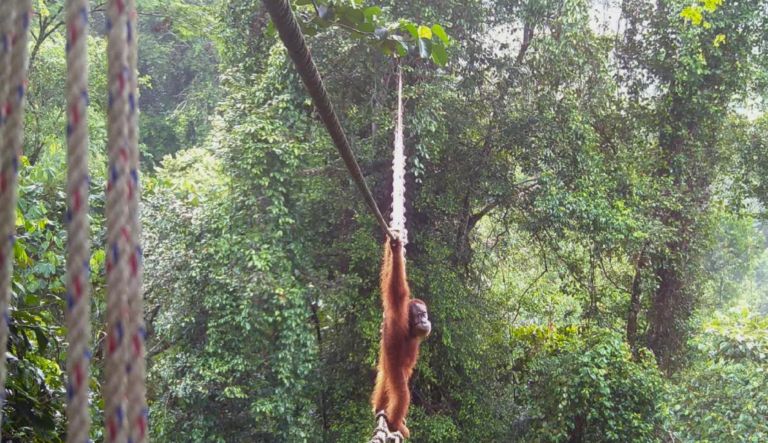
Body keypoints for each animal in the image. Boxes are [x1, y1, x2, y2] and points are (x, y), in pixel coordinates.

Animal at [371, 235, 431, 438]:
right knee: (402, 394)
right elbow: (397, 289)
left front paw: (392, 249)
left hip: (386, 368)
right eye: (420, 315)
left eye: (425, 315)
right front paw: (396, 250)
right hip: (394, 370)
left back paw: (379, 409)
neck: (410, 329)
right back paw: (395, 422)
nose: (425, 321)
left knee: (384, 382)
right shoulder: (398, 313)